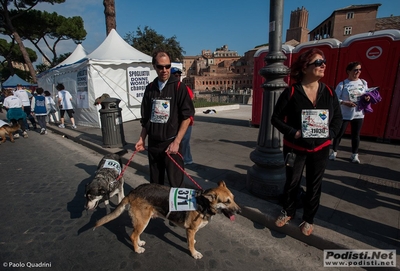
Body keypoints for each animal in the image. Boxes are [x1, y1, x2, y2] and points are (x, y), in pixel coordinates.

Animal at [94, 181, 241, 260]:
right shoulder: (191, 229)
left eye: (234, 198)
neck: (203, 202)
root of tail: (133, 191)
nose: (240, 211)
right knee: (132, 235)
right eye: (227, 202)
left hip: (142, 221)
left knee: (135, 234)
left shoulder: (191, 231)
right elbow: (190, 245)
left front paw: (192, 242)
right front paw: (194, 253)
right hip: (143, 221)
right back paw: (136, 249)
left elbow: (190, 241)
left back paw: (139, 243)